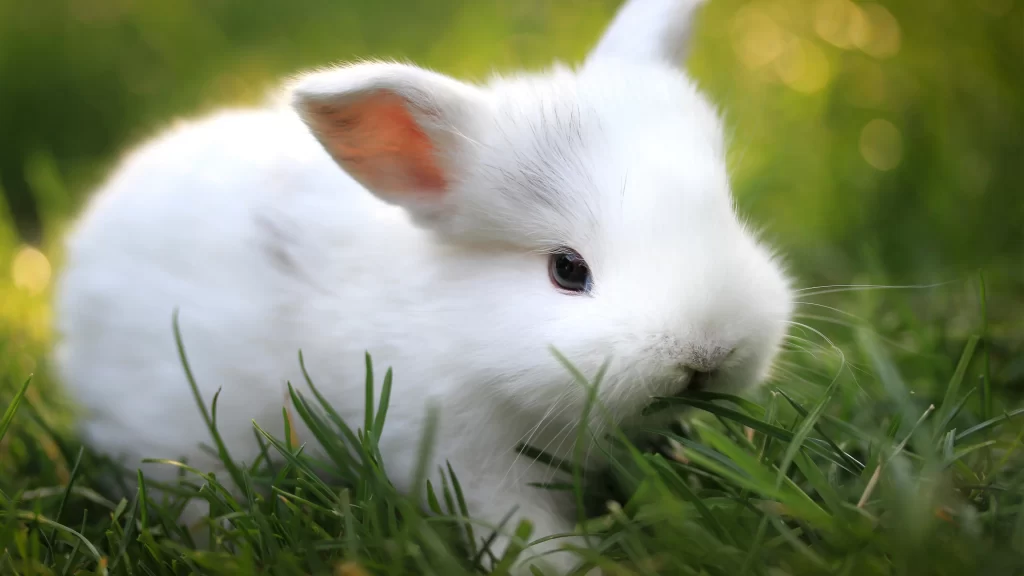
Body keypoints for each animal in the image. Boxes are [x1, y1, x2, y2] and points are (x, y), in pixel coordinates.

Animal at [52, 0, 794, 573]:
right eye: (567, 270)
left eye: (727, 213)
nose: (708, 353)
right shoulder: (462, 458)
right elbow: (519, 528)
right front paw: (566, 565)